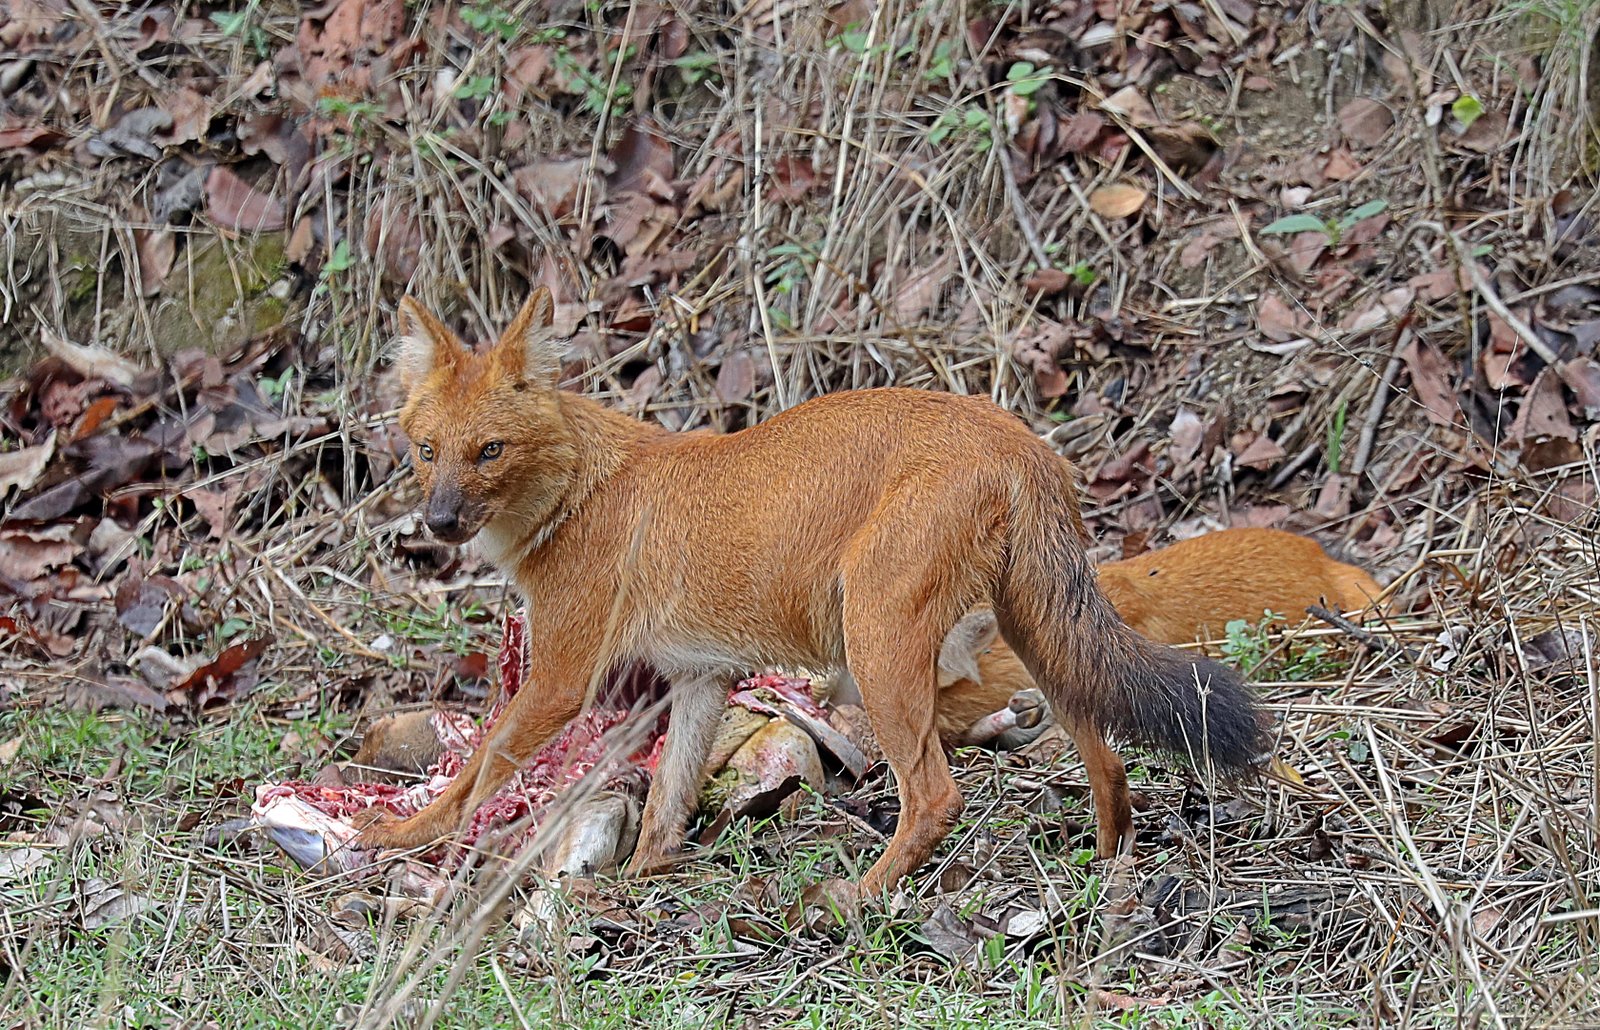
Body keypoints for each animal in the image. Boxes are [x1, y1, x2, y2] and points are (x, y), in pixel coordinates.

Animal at [354, 288, 1265, 897]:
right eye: (427, 451)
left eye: (490, 452)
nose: (438, 522)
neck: (582, 491)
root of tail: (1016, 434)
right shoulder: (698, 679)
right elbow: (668, 796)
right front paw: (644, 877)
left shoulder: (560, 678)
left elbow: (477, 772)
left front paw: (406, 837)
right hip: (1038, 635)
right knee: (1108, 757)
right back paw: (1108, 875)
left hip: (878, 642)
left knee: (936, 795)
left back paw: (858, 897)